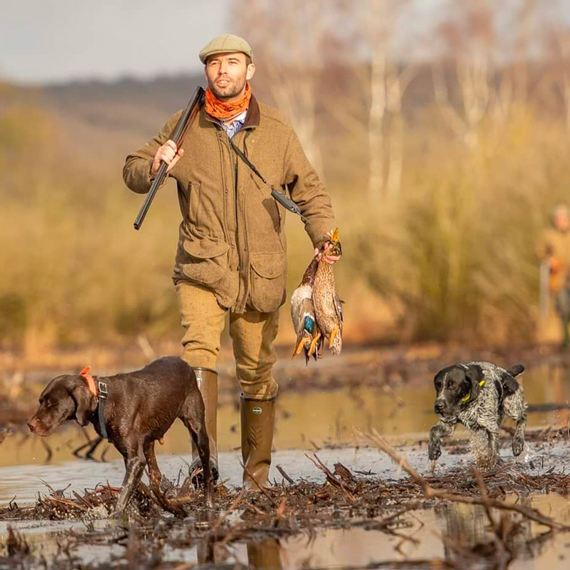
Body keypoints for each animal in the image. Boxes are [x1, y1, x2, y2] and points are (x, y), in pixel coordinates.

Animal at [27, 356, 212, 510]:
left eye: (51, 403)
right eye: (41, 401)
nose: (29, 425)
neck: (103, 400)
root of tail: (185, 363)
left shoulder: (135, 460)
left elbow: (123, 496)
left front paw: (115, 517)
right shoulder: (129, 457)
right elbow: (135, 487)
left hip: (198, 430)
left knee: (207, 473)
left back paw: (207, 503)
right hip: (148, 444)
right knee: (155, 477)